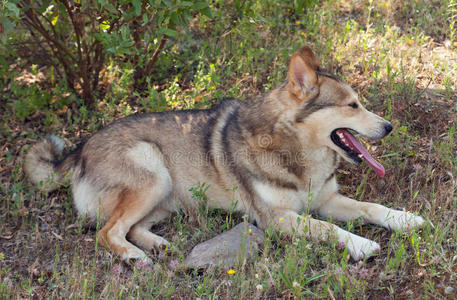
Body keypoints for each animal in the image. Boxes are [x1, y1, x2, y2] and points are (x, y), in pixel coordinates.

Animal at [25, 45, 424, 262]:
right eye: (353, 106)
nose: (389, 127)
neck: (296, 152)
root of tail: (77, 152)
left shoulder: (327, 200)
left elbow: (371, 207)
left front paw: (405, 219)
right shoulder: (277, 218)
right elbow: (327, 228)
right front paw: (361, 244)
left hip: (165, 197)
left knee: (131, 227)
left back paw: (158, 245)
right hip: (153, 173)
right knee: (107, 233)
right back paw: (135, 256)